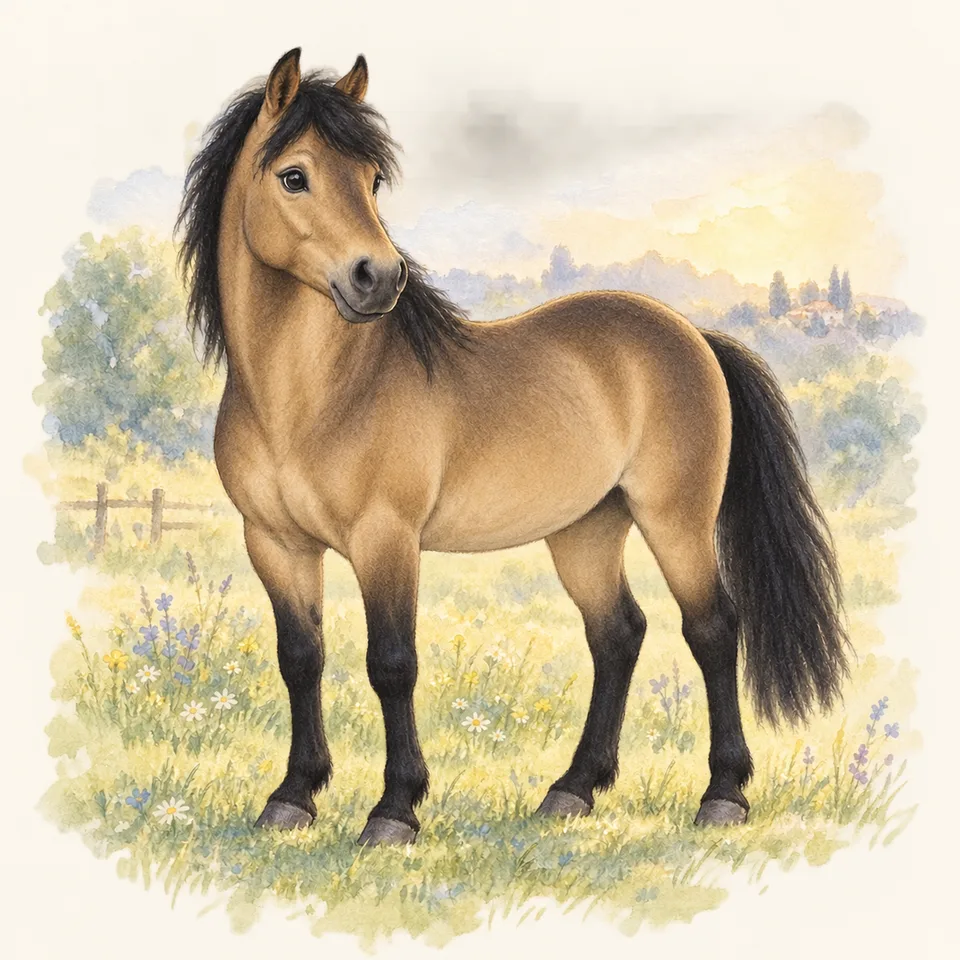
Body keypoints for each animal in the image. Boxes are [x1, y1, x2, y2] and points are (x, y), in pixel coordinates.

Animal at [176, 48, 848, 847]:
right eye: (294, 176)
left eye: (371, 180)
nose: (379, 278)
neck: (314, 397)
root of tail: (693, 336)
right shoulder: (275, 543)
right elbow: (301, 659)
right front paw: (292, 797)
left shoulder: (385, 538)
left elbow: (391, 663)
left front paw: (394, 810)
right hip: (587, 529)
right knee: (617, 634)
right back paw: (573, 789)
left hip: (675, 520)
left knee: (712, 629)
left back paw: (722, 795)